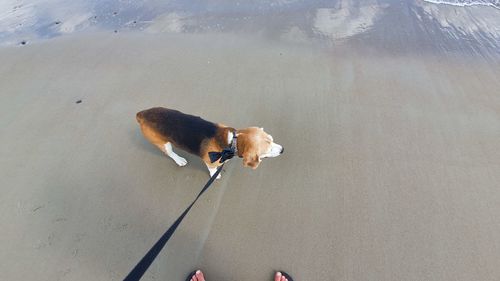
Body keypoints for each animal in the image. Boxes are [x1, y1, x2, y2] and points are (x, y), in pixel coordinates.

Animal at [137, 106, 284, 178]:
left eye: (272, 139)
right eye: (268, 150)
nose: (283, 150)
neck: (232, 142)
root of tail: (142, 114)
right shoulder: (210, 162)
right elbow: (212, 169)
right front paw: (215, 175)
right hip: (163, 144)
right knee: (170, 153)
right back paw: (179, 160)